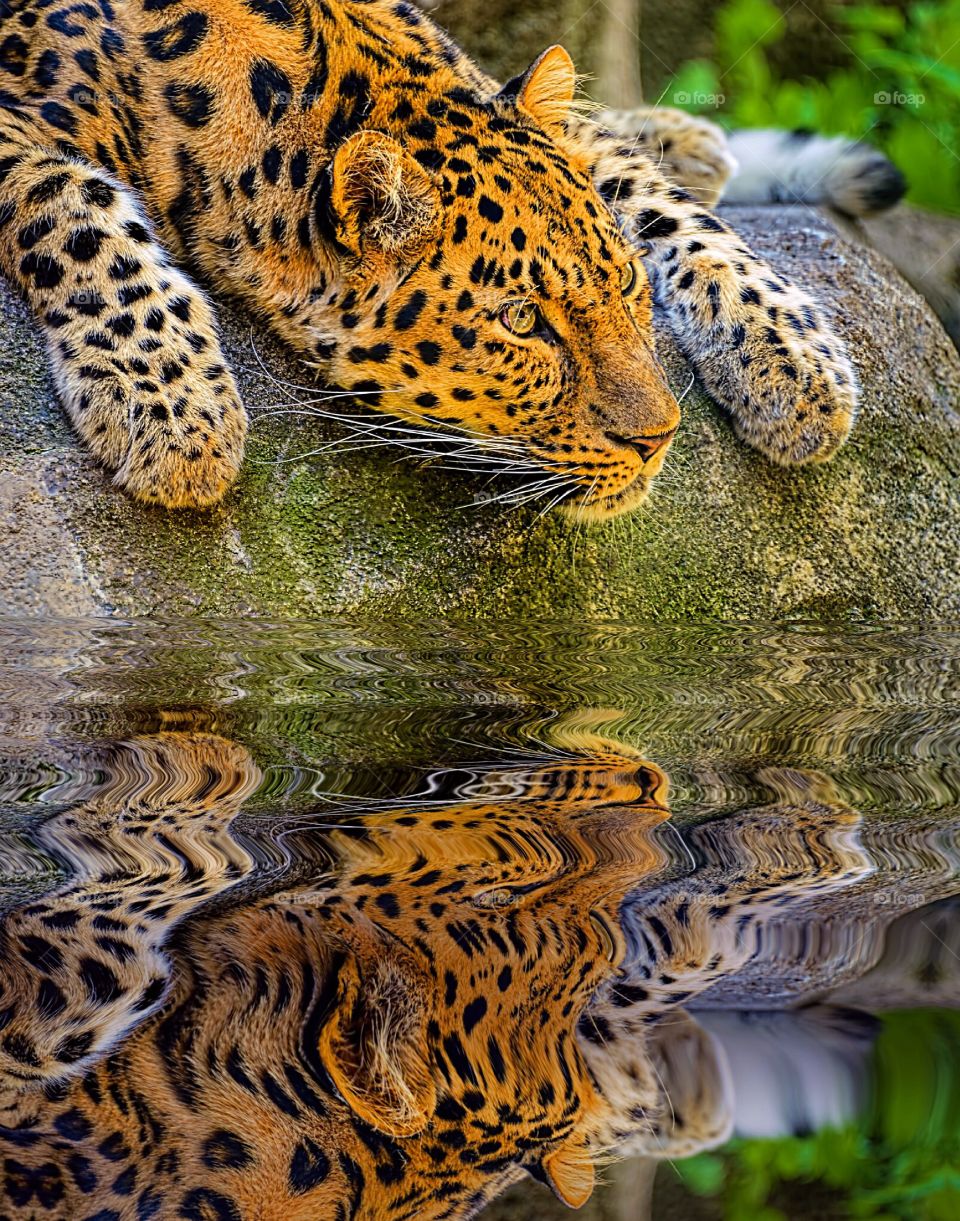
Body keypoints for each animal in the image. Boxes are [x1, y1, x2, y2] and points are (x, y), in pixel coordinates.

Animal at [0, 0, 898, 520]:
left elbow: (654, 197)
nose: (660, 440)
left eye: (627, 282)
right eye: (522, 322)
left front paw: (794, 361)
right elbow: (72, 203)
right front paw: (174, 413)